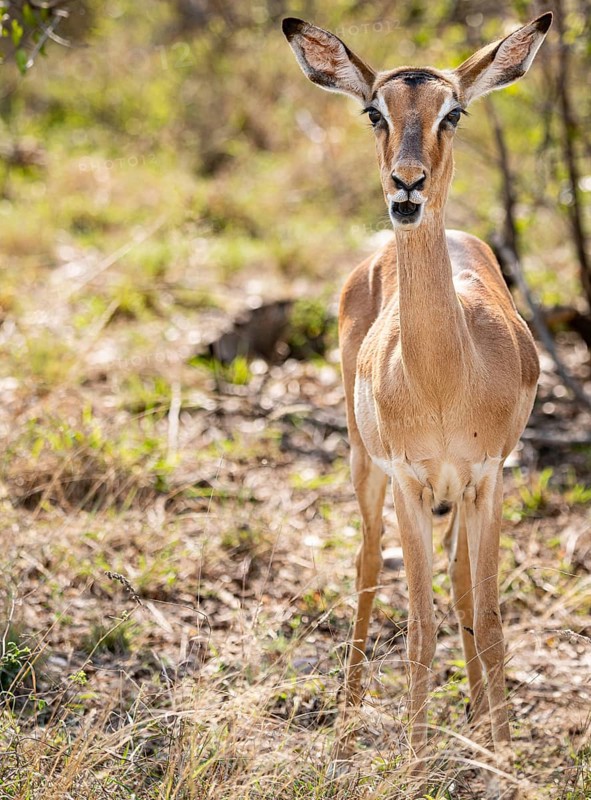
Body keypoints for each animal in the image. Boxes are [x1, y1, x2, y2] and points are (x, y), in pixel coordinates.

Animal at [283, 11, 551, 779]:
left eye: (451, 112)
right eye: (374, 110)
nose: (407, 186)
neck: (443, 382)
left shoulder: (486, 477)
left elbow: (487, 617)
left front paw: (500, 758)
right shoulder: (407, 481)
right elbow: (419, 627)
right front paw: (413, 761)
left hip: (455, 498)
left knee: (460, 589)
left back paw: (474, 728)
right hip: (364, 467)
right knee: (368, 568)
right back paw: (345, 736)